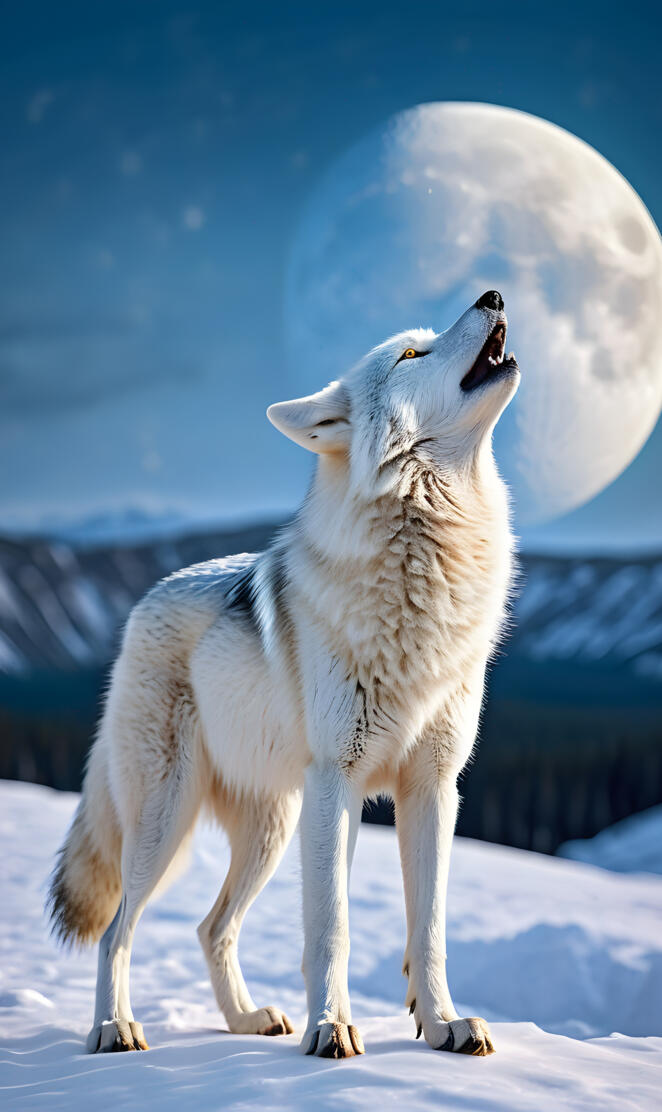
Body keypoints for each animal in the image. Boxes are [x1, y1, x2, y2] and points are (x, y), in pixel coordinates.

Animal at [48, 290, 519, 1059]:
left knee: (213, 926)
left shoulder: (431, 789)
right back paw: (113, 1028)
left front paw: (444, 1023)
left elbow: (429, 930)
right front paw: (333, 1028)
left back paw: (246, 1021)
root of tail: (143, 603)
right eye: (411, 353)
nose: (494, 295)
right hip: (169, 823)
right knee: (118, 929)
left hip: (273, 827)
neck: (430, 566)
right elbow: (333, 926)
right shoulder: (337, 781)